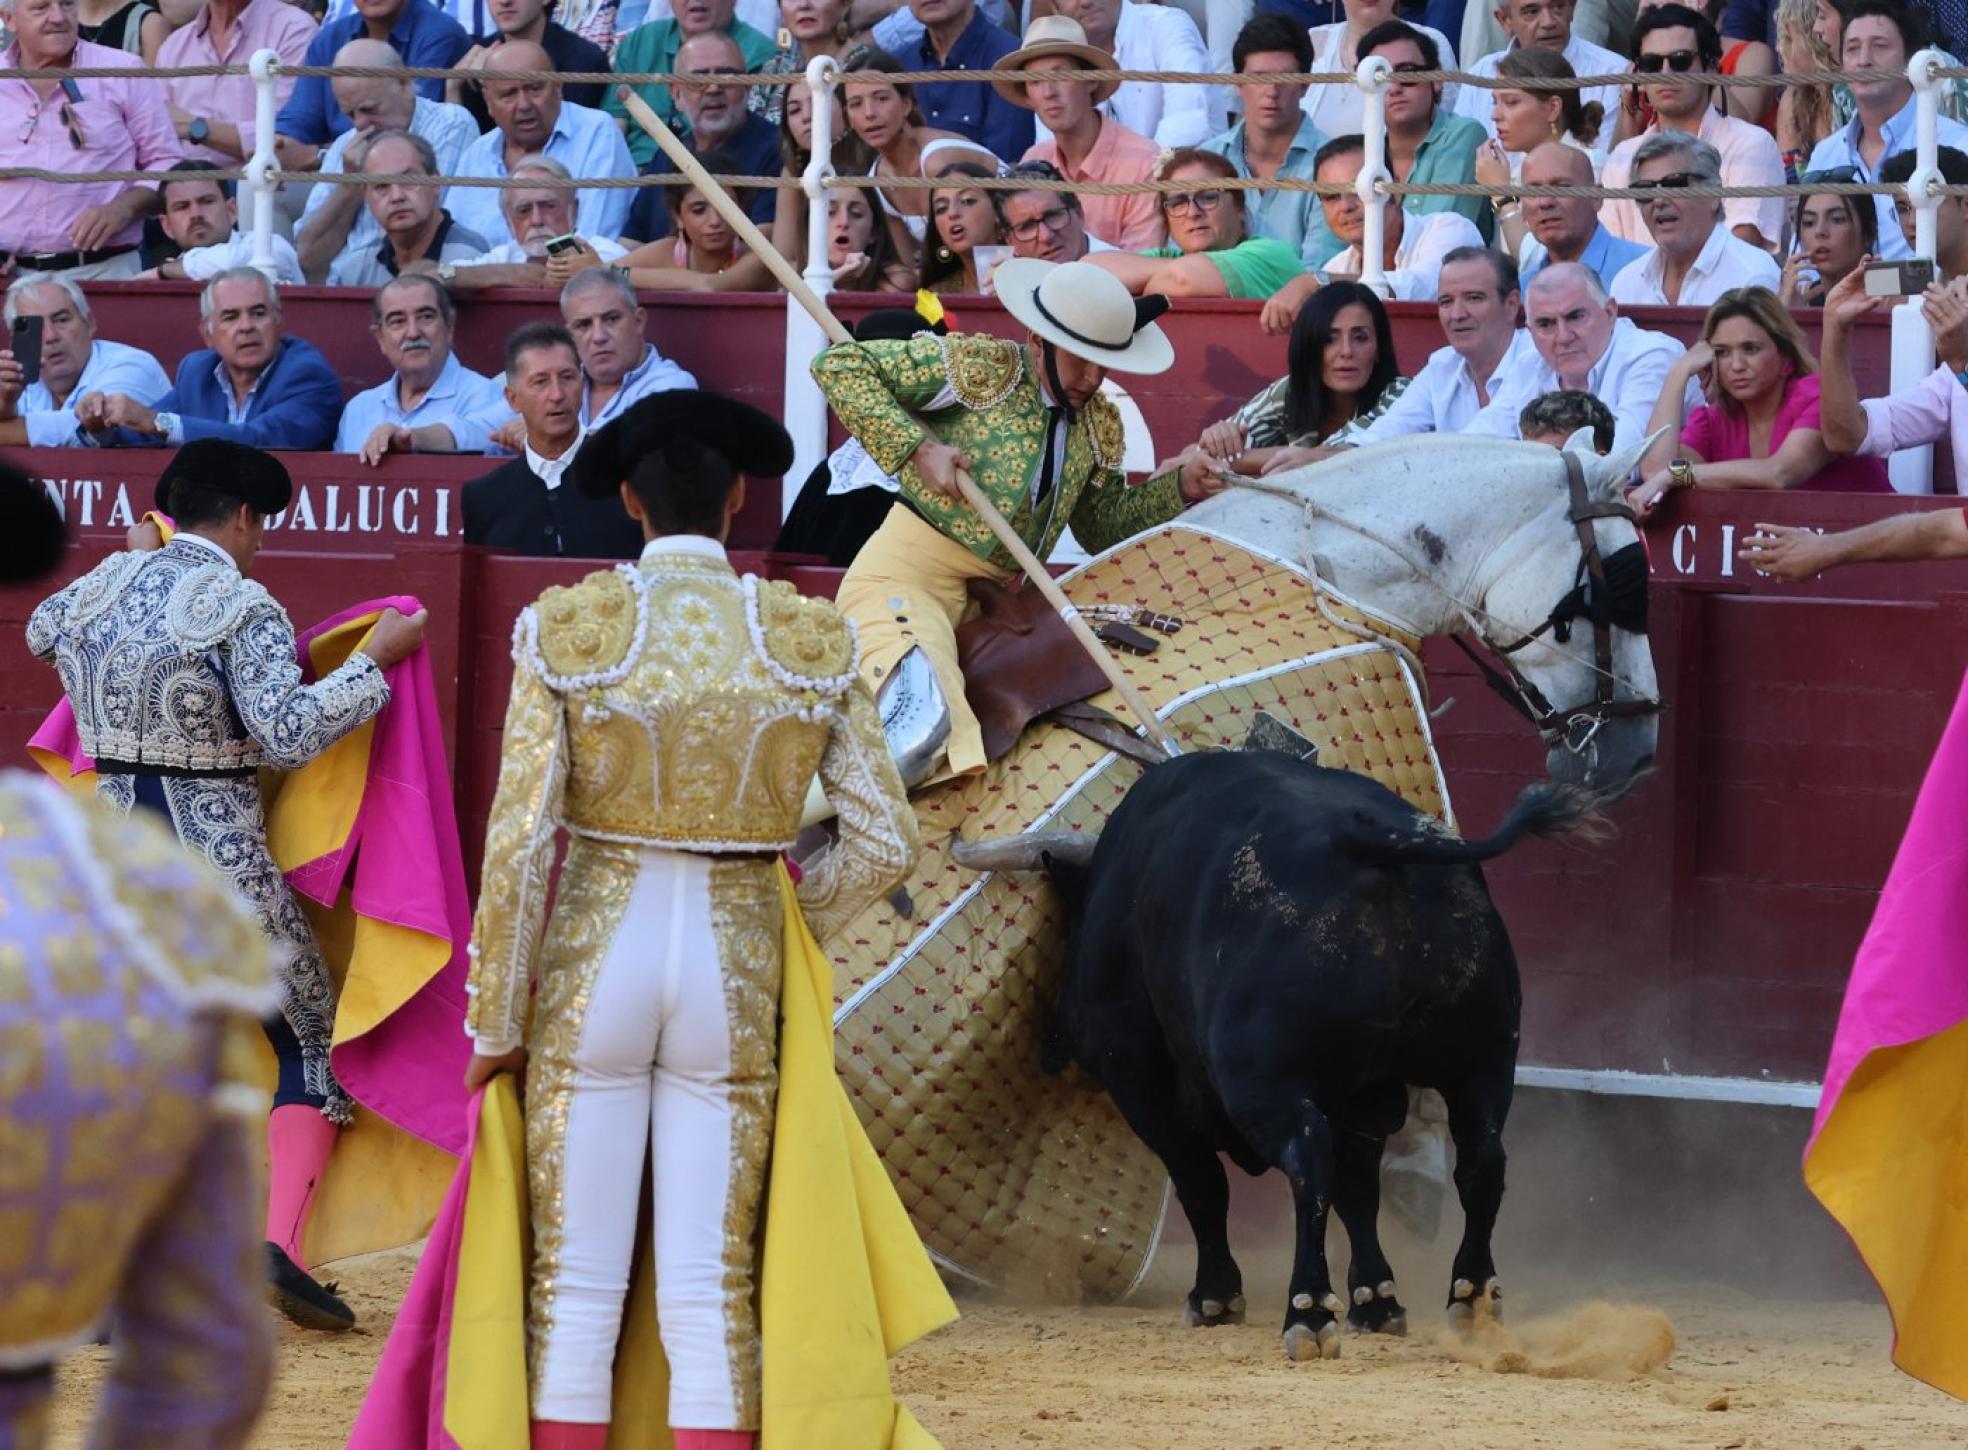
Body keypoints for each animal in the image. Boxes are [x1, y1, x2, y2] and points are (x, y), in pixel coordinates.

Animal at [1023, 747, 1590, 1353]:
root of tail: (1379, 843)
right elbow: (1358, 1190)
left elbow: (1203, 1182)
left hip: (1264, 1084)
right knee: (1480, 1162)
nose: (1049, 1048)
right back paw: (1473, 1296)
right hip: (1482, 1065)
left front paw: (1216, 1298)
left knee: (1307, 1159)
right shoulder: (1364, 1097)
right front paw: (1376, 1301)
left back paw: (1309, 1312)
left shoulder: (1142, 1083)